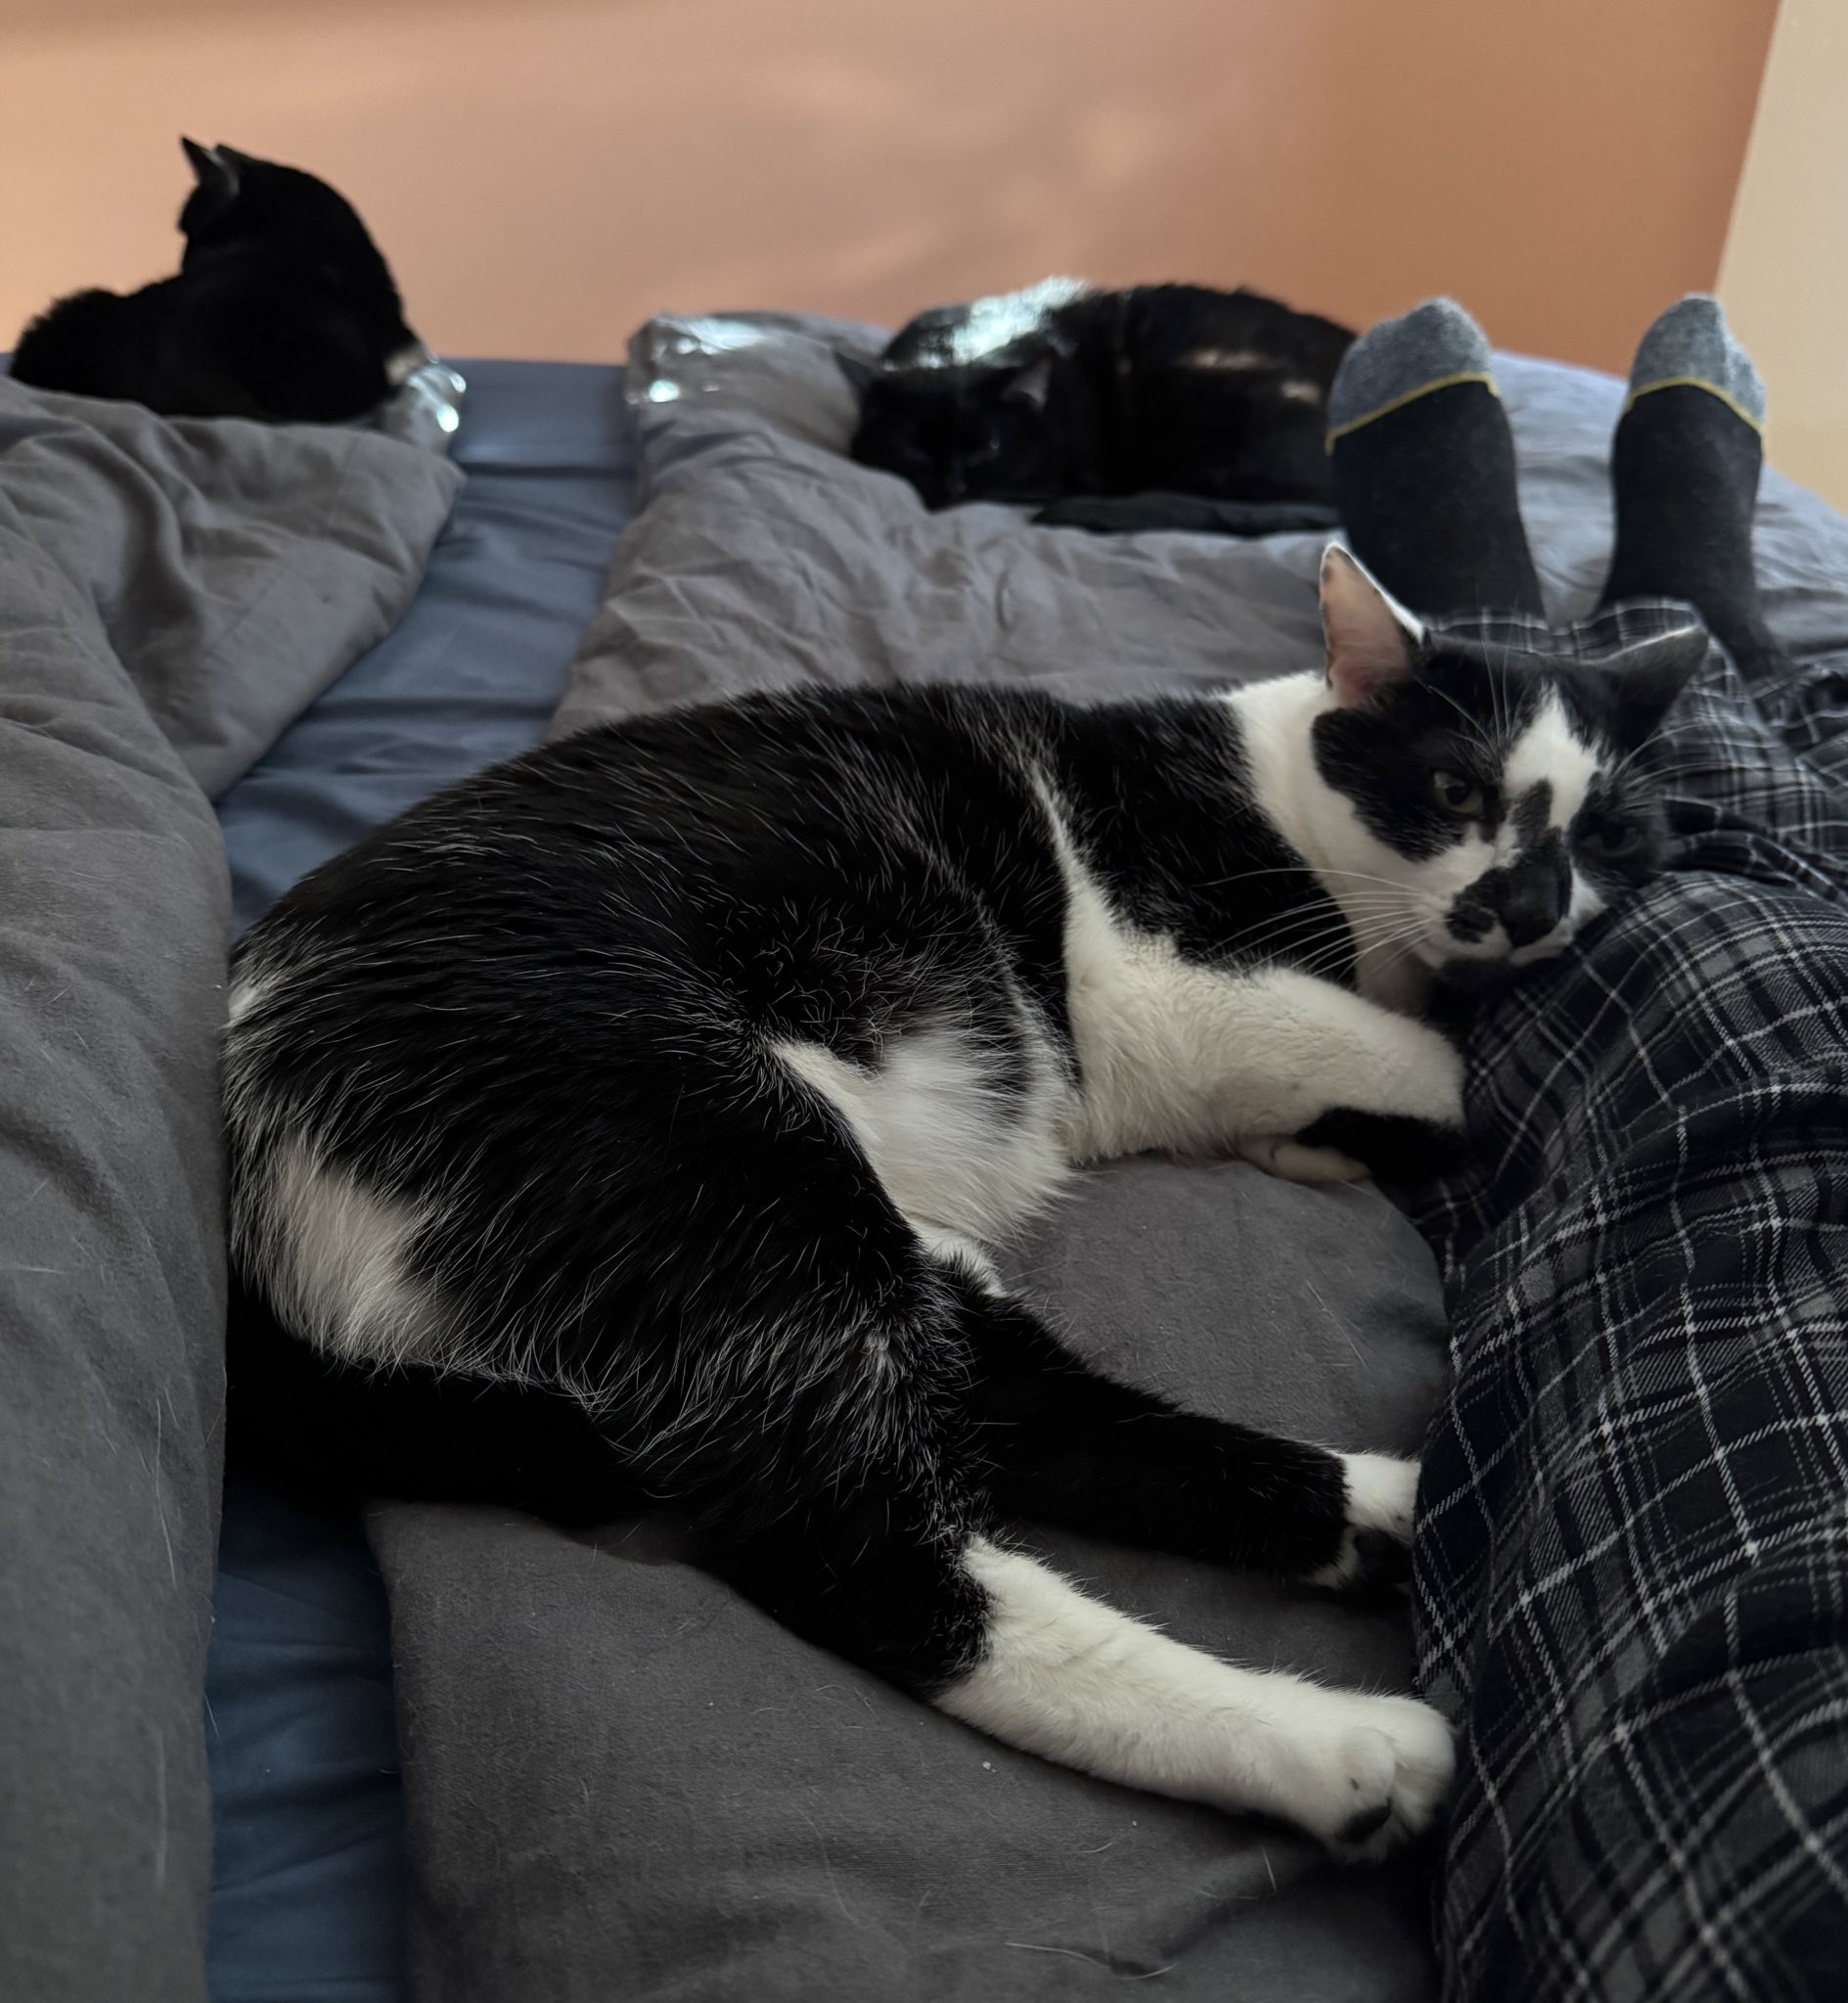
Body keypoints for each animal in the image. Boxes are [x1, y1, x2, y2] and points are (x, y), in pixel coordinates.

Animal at [222, 548, 1705, 1856]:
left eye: (1603, 832)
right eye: (1453, 787)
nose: (1525, 904)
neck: (1279, 793)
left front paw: (1314, 1147)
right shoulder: (1163, 988)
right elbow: (1436, 1062)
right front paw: (1367, 1111)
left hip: (809, 1220)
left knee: (1010, 1392)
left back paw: (1391, 1508)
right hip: (720, 1167)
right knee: (883, 1556)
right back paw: (1336, 1750)